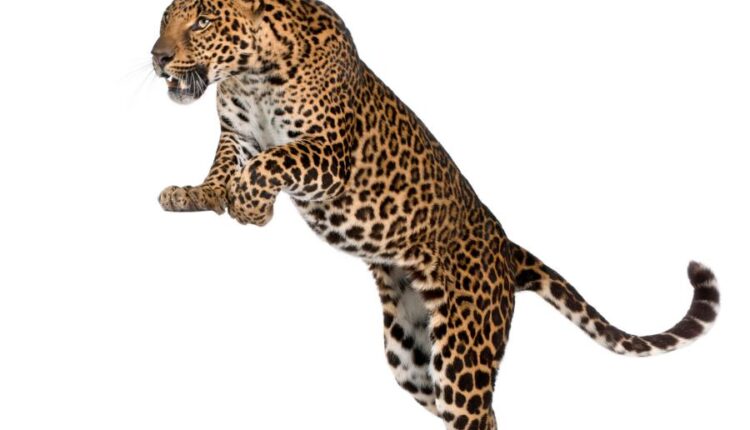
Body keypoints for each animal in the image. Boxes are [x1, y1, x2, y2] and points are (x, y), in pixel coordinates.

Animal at [150, 1, 721, 428]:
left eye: (202, 21)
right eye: (165, 18)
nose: (157, 57)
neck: (250, 73)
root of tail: (505, 247)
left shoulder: (329, 153)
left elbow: (272, 162)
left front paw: (251, 207)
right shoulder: (238, 133)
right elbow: (227, 162)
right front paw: (195, 194)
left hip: (465, 349)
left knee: (479, 415)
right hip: (413, 356)